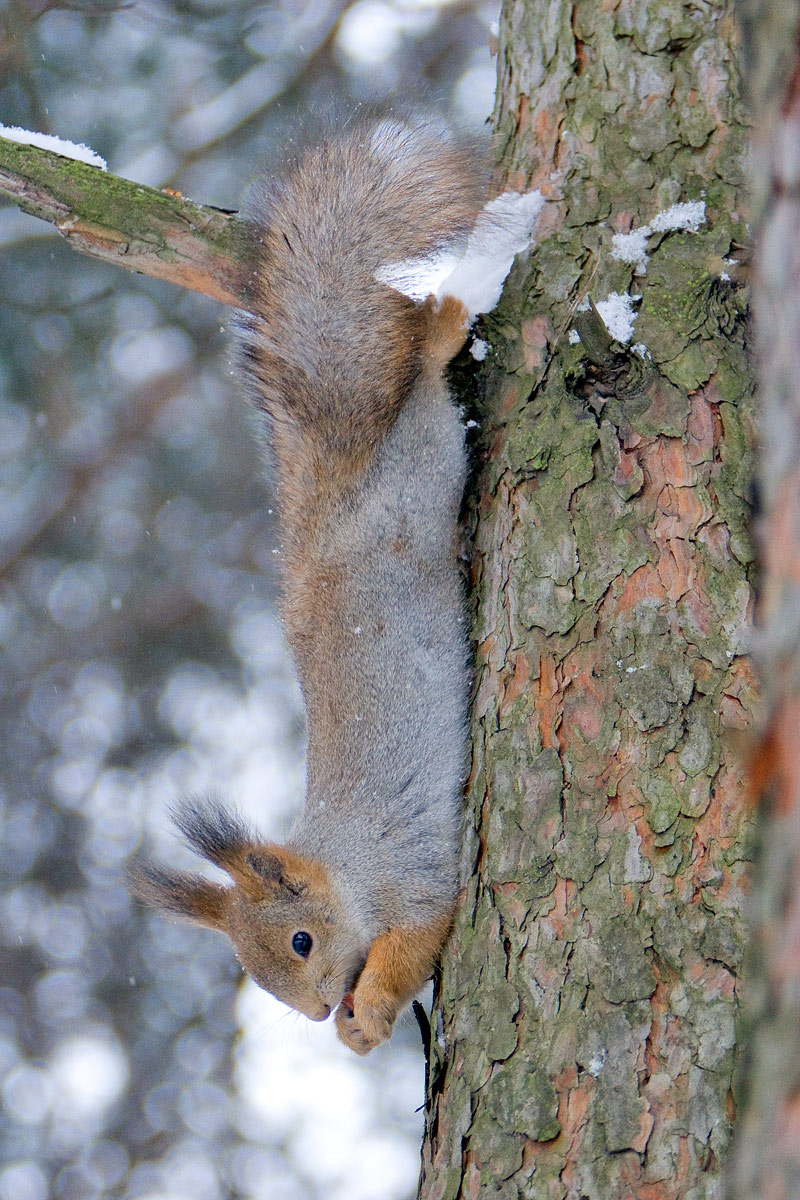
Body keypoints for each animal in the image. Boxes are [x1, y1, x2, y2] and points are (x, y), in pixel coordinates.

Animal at [131, 124, 484, 1051]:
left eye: (300, 940)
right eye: (260, 978)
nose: (321, 1008)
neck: (346, 868)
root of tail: (334, 500)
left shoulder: (416, 871)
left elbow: (417, 939)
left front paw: (369, 1014)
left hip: (423, 469)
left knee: (422, 391)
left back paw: (443, 322)